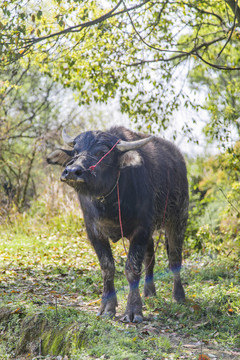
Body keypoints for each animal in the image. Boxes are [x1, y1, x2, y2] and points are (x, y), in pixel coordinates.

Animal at [47, 126, 188, 324]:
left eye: (102, 153)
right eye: (75, 151)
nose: (73, 171)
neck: (109, 203)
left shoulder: (141, 229)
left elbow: (132, 269)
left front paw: (133, 310)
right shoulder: (94, 231)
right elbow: (107, 267)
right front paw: (107, 308)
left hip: (178, 218)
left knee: (174, 258)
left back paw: (179, 296)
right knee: (150, 258)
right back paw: (149, 292)